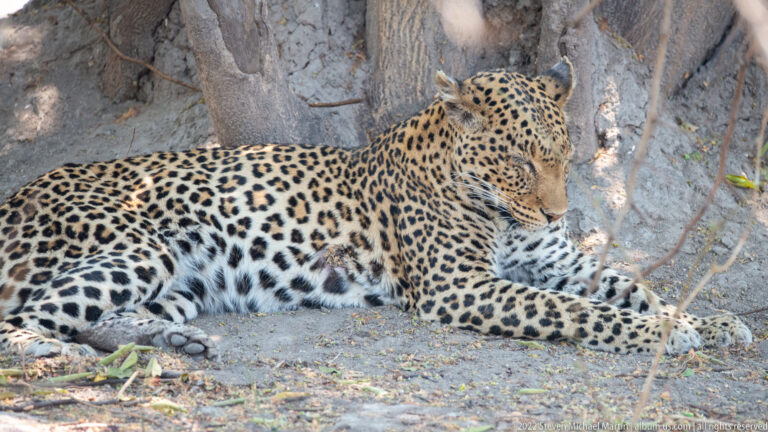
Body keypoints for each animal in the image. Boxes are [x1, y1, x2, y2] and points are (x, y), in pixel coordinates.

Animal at [0, 58, 751, 360]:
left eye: (568, 158)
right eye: (519, 162)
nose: (557, 216)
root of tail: (14, 195)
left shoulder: (557, 263)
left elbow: (634, 287)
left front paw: (710, 323)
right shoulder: (460, 287)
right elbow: (581, 312)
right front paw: (664, 336)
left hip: (181, 280)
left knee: (100, 317)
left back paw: (176, 343)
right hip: (139, 245)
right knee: (22, 325)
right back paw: (54, 355)